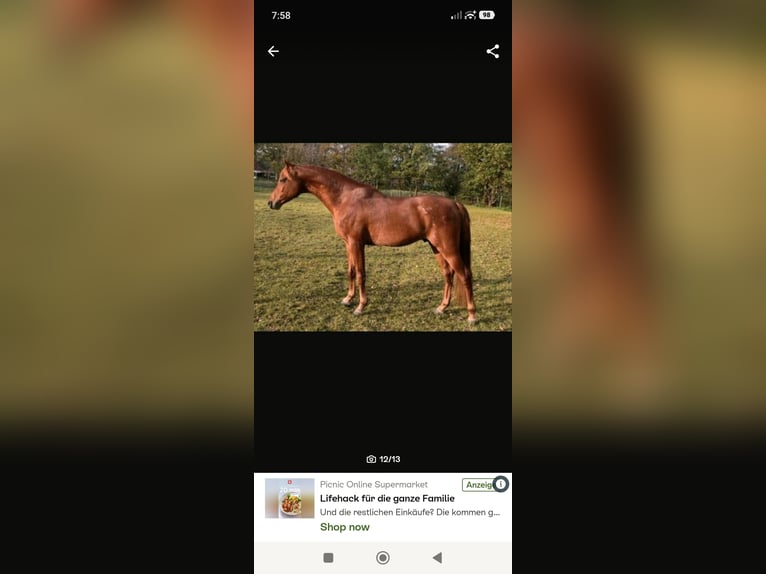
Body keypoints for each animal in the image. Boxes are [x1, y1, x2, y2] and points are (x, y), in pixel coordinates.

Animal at [267, 161, 477, 324]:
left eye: (283, 179)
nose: (271, 203)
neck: (345, 198)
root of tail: (454, 203)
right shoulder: (348, 244)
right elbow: (351, 272)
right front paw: (348, 299)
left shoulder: (356, 243)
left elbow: (361, 274)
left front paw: (360, 306)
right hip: (436, 248)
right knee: (448, 275)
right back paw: (441, 308)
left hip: (448, 249)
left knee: (465, 275)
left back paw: (472, 316)